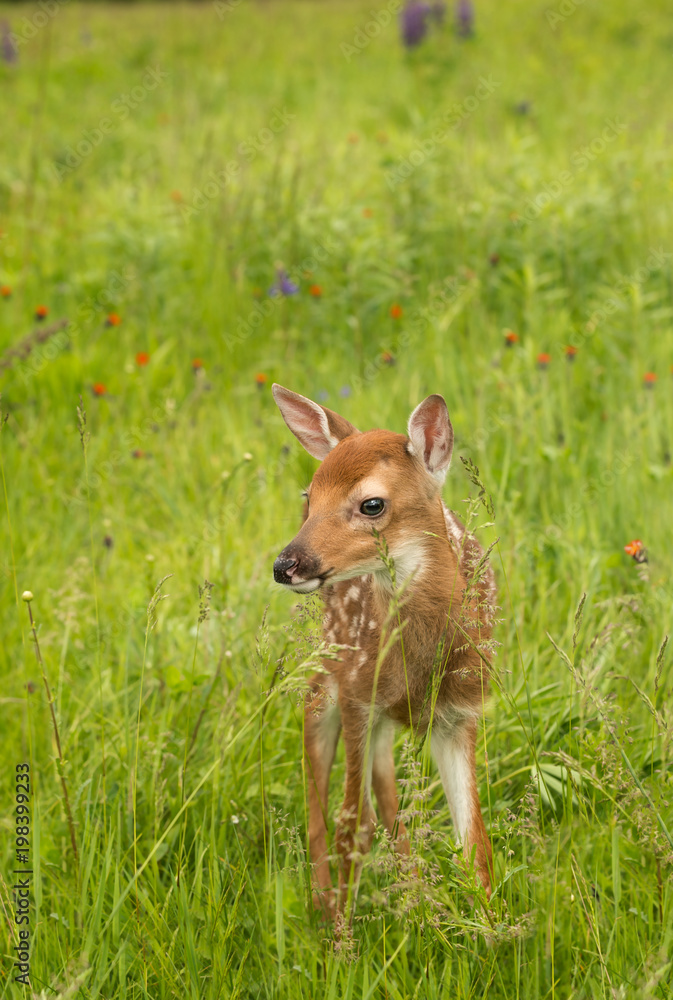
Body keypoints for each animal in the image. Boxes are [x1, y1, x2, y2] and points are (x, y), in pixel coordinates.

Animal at [272, 384, 496, 918]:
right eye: (309, 496)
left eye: (372, 504)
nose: (285, 565)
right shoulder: (358, 694)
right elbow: (350, 823)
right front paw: (341, 935)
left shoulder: (461, 711)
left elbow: (474, 839)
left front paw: (492, 925)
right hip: (334, 675)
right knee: (327, 798)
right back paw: (325, 903)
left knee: (386, 794)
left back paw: (413, 897)